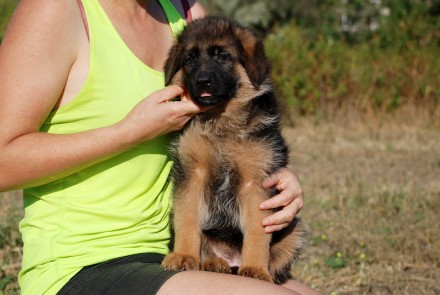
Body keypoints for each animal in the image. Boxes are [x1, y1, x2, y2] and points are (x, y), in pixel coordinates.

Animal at [162, 15, 310, 284]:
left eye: (223, 56)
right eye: (189, 59)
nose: (202, 81)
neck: (220, 121)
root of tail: (232, 260)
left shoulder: (256, 182)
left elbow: (257, 231)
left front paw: (255, 268)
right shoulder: (192, 173)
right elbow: (187, 218)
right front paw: (183, 255)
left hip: (296, 231)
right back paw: (214, 263)